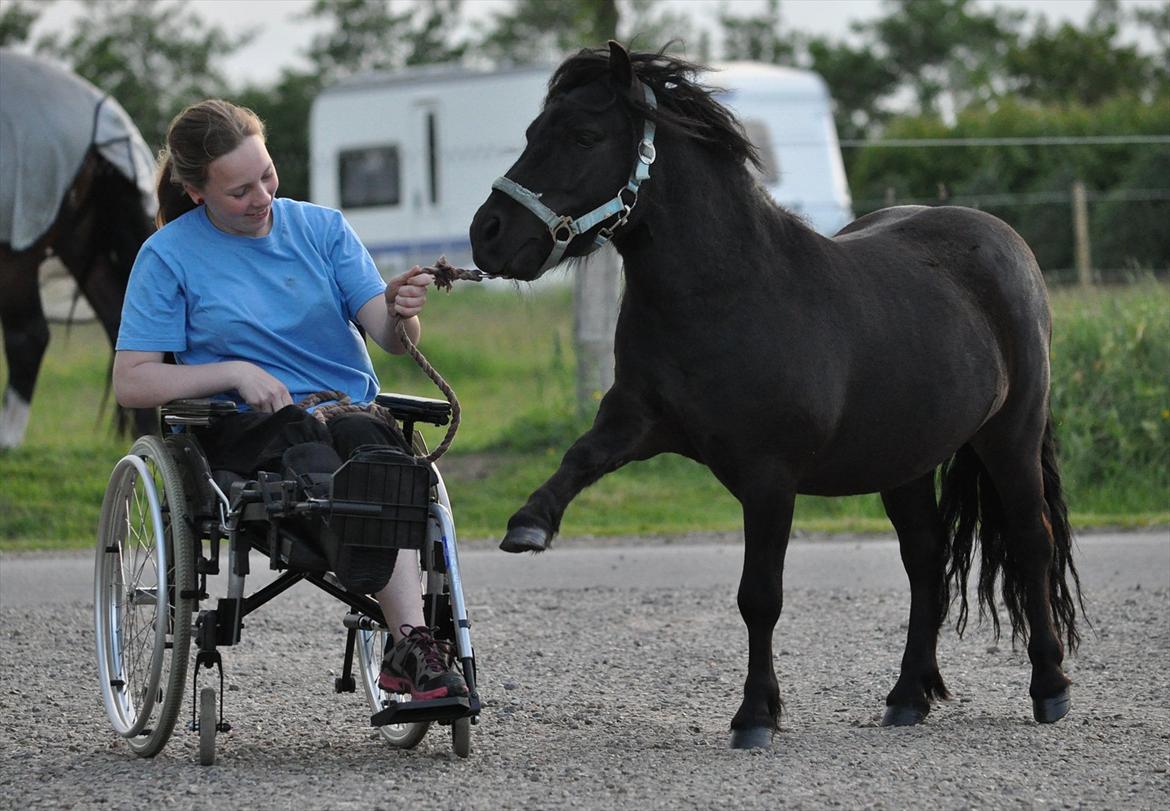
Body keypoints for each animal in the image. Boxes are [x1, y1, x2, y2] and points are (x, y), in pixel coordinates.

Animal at [470, 42, 1081, 744]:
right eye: (531, 134)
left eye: (583, 136)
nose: (487, 234)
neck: (727, 293)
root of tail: (1006, 242)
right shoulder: (637, 418)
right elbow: (580, 457)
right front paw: (529, 524)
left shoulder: (769, 478)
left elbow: (759, 596)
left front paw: (756, 715)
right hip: (904, 462)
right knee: (926, 562)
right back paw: (907, 697)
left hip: (1011, 433)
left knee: (1032, 541)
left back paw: (1049, 687)